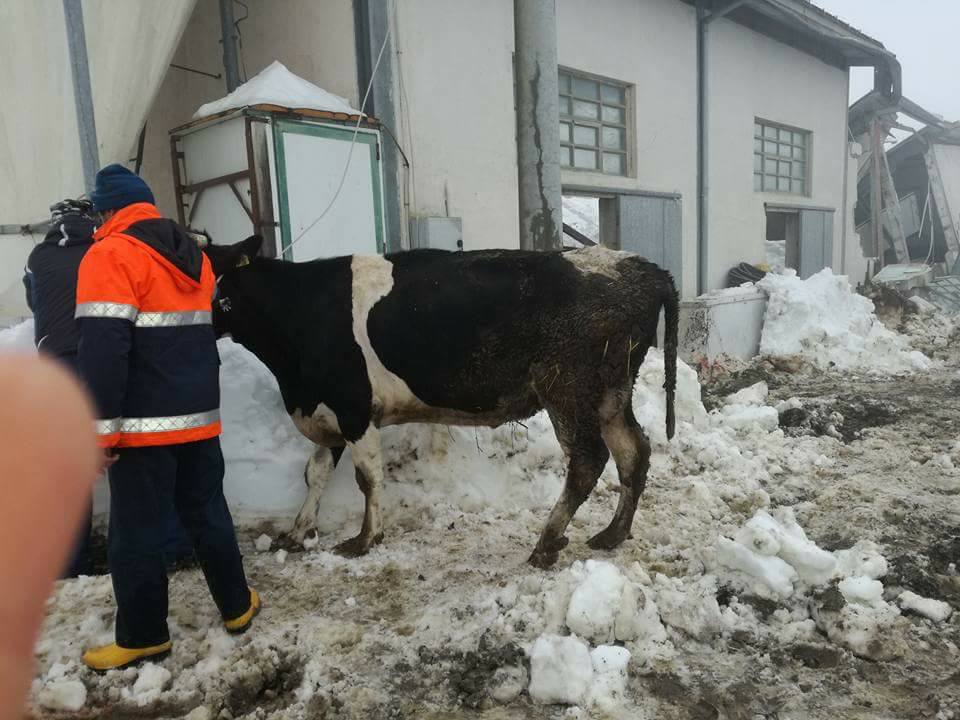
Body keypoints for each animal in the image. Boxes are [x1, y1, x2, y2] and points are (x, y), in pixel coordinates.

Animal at [205, 237, 678, 568]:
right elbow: (315, 472)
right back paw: (612, 533)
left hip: (567, 387)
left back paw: (546, 542)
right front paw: (298, 532)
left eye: (217, 293)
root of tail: (639, 265)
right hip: (610, 393)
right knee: (633, 451)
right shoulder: (329, 412)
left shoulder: (353, 407)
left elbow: (368, 478)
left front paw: (365, 539)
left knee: (587, 460)